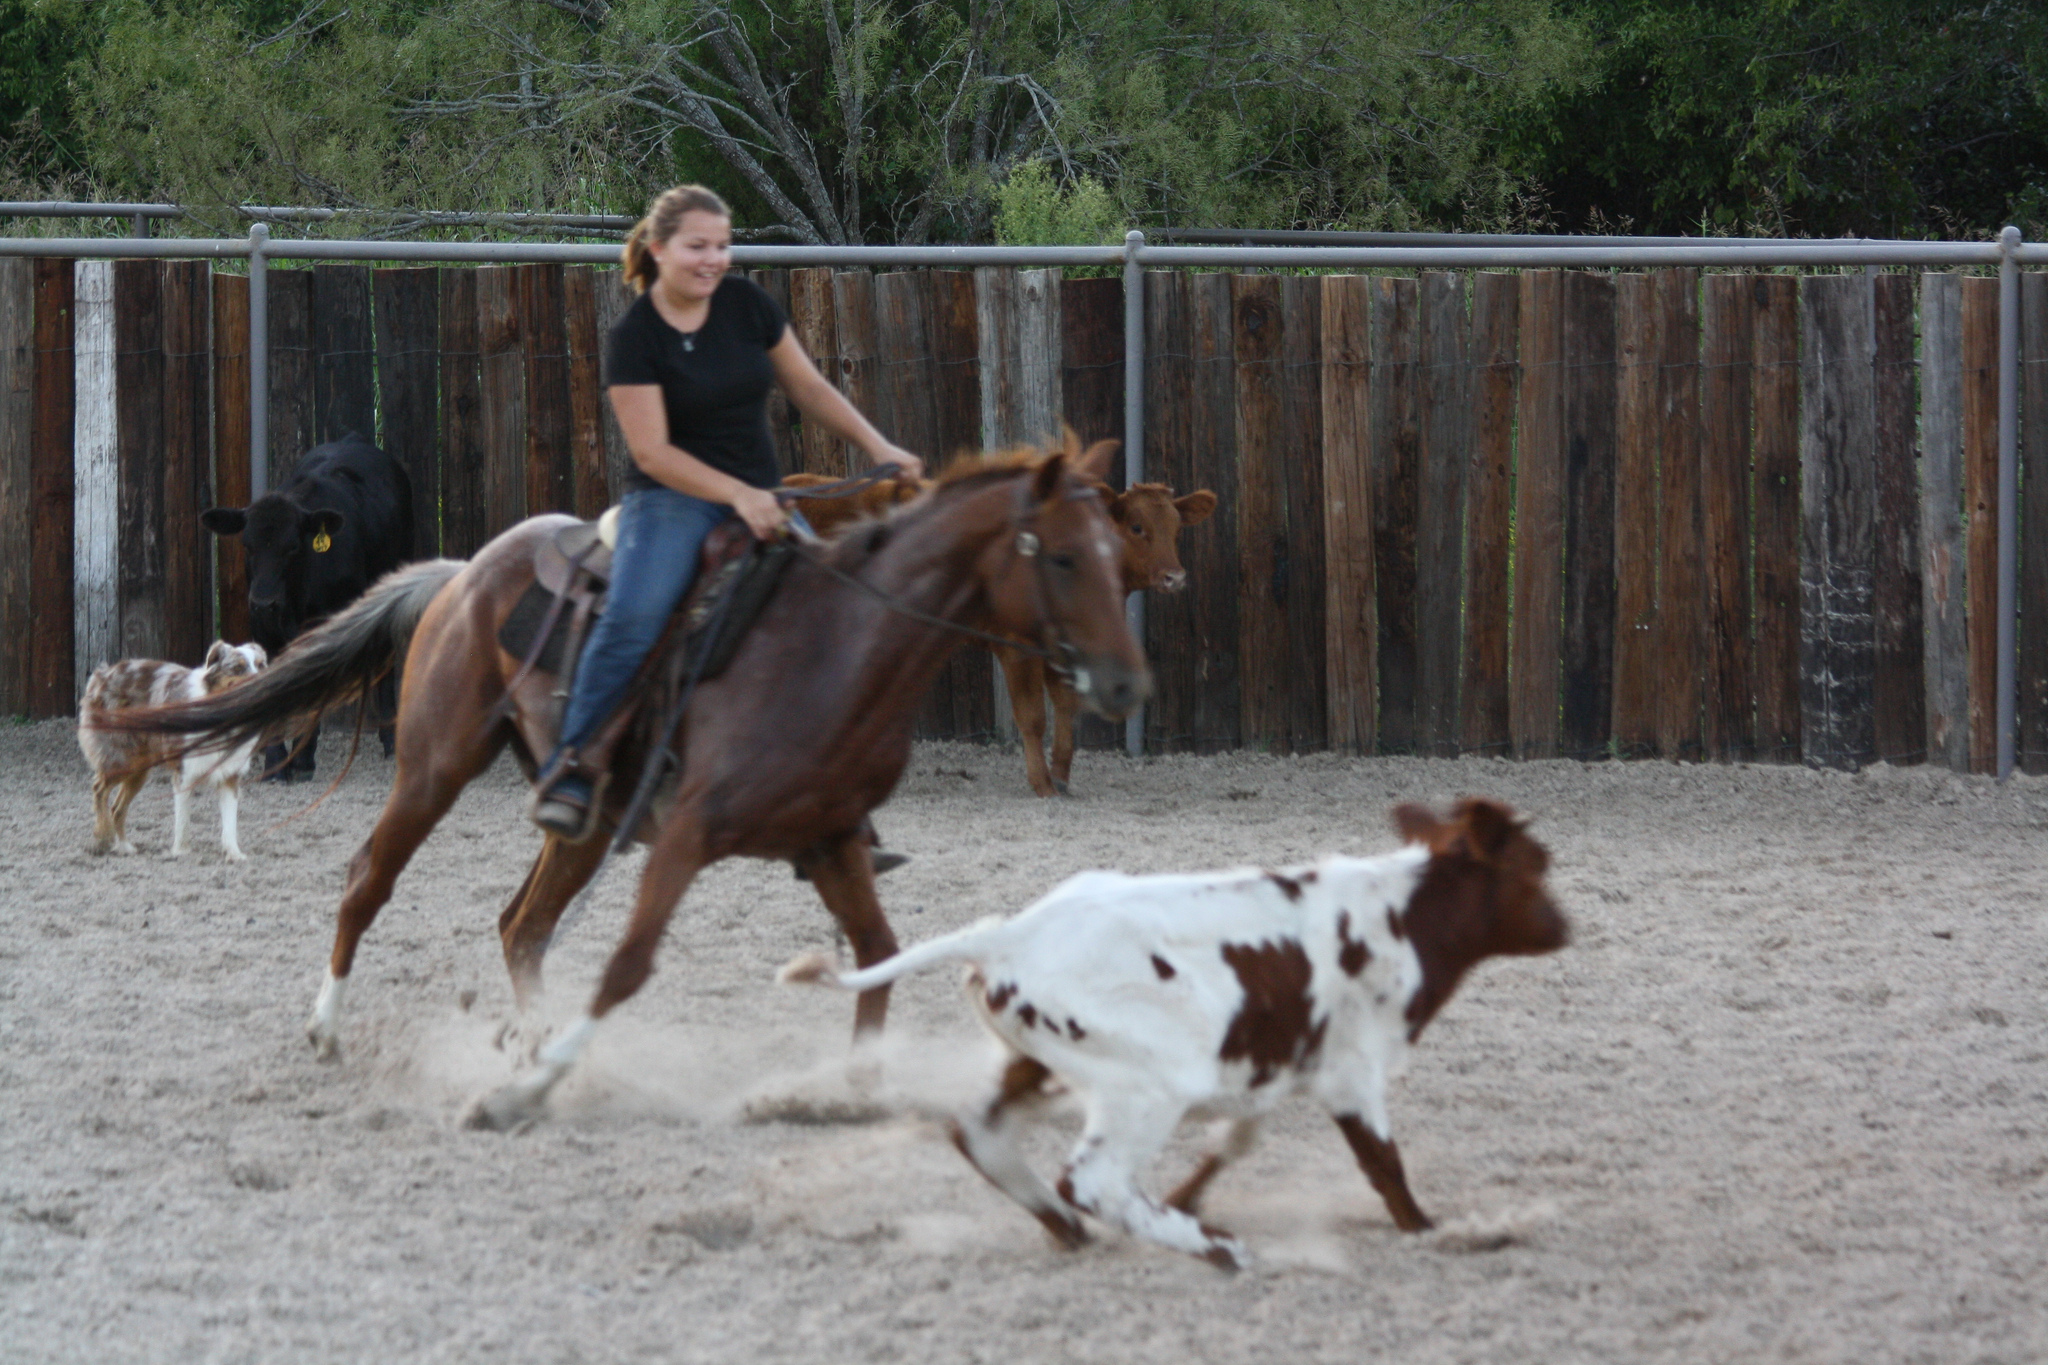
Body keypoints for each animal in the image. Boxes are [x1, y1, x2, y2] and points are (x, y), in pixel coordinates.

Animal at [98, 439, 1148, 1130]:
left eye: (1114, 549)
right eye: (1061, 554)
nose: (1124, 681)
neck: (838, 646)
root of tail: (460, 573)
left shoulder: (831, 839)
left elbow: (879, 952)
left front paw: (844, 1091)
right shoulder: (687, 834)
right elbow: (628, 967)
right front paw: (525, 1092)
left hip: (589, 817)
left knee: (522, 926)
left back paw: (530, 1040)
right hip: (437, 766)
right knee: (370, 880)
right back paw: (328, 1029)